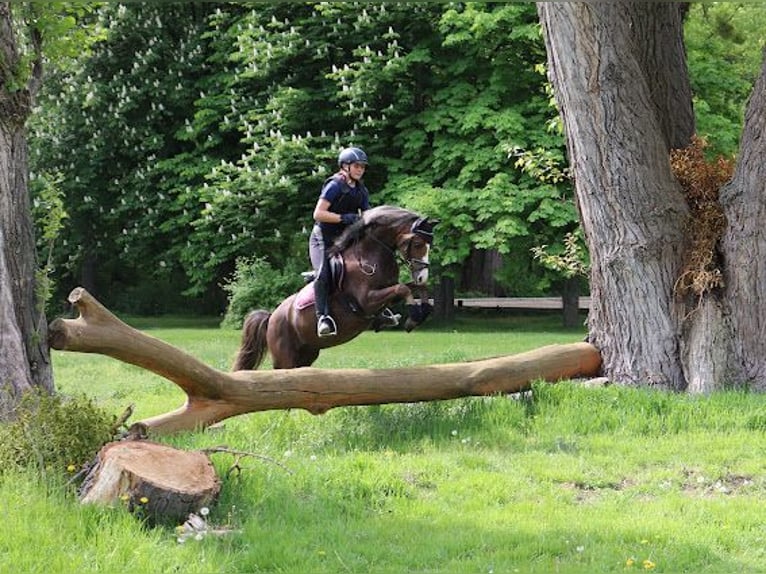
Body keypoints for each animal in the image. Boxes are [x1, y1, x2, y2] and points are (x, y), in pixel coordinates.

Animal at [232, 207, 438, 374]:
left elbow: (416, 288)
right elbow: (403, 289)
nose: (422, 275)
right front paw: (413, 316)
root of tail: (272, 316)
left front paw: (422, 311)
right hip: (285, 355)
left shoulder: (387, 291)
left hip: (307, 353)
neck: (369, 255)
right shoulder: (367, 300)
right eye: (418, 244)